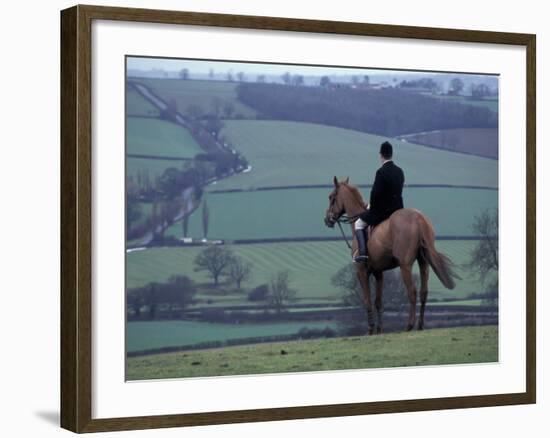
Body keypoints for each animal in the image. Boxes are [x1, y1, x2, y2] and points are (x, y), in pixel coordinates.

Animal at [326, 176, 460, 334]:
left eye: (331, 197)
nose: (327, 220)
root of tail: (419, 218)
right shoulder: (378, 273)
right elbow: (378, 302)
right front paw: (379, 330)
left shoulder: (361, 271)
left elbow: (367, 300)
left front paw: (371, 330)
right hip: (423, 262)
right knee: (423, 292)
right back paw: (420, 325)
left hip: (405, 265)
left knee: (412, 292)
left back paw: (409, 325)